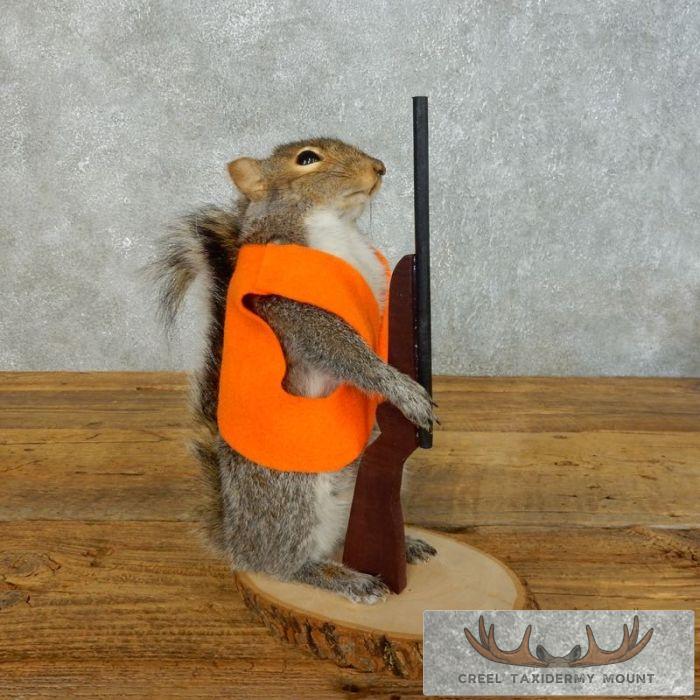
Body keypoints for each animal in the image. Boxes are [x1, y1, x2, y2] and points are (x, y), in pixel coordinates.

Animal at [150, 138, 437, 603]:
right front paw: (403, 390)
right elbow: (344, 350)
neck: (334, 225)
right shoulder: (292, 310)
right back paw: (340, 577)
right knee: (283, 565)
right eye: (306, 159)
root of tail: (237, 539)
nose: (379, 168)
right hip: (291, 491)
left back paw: (402, 546)